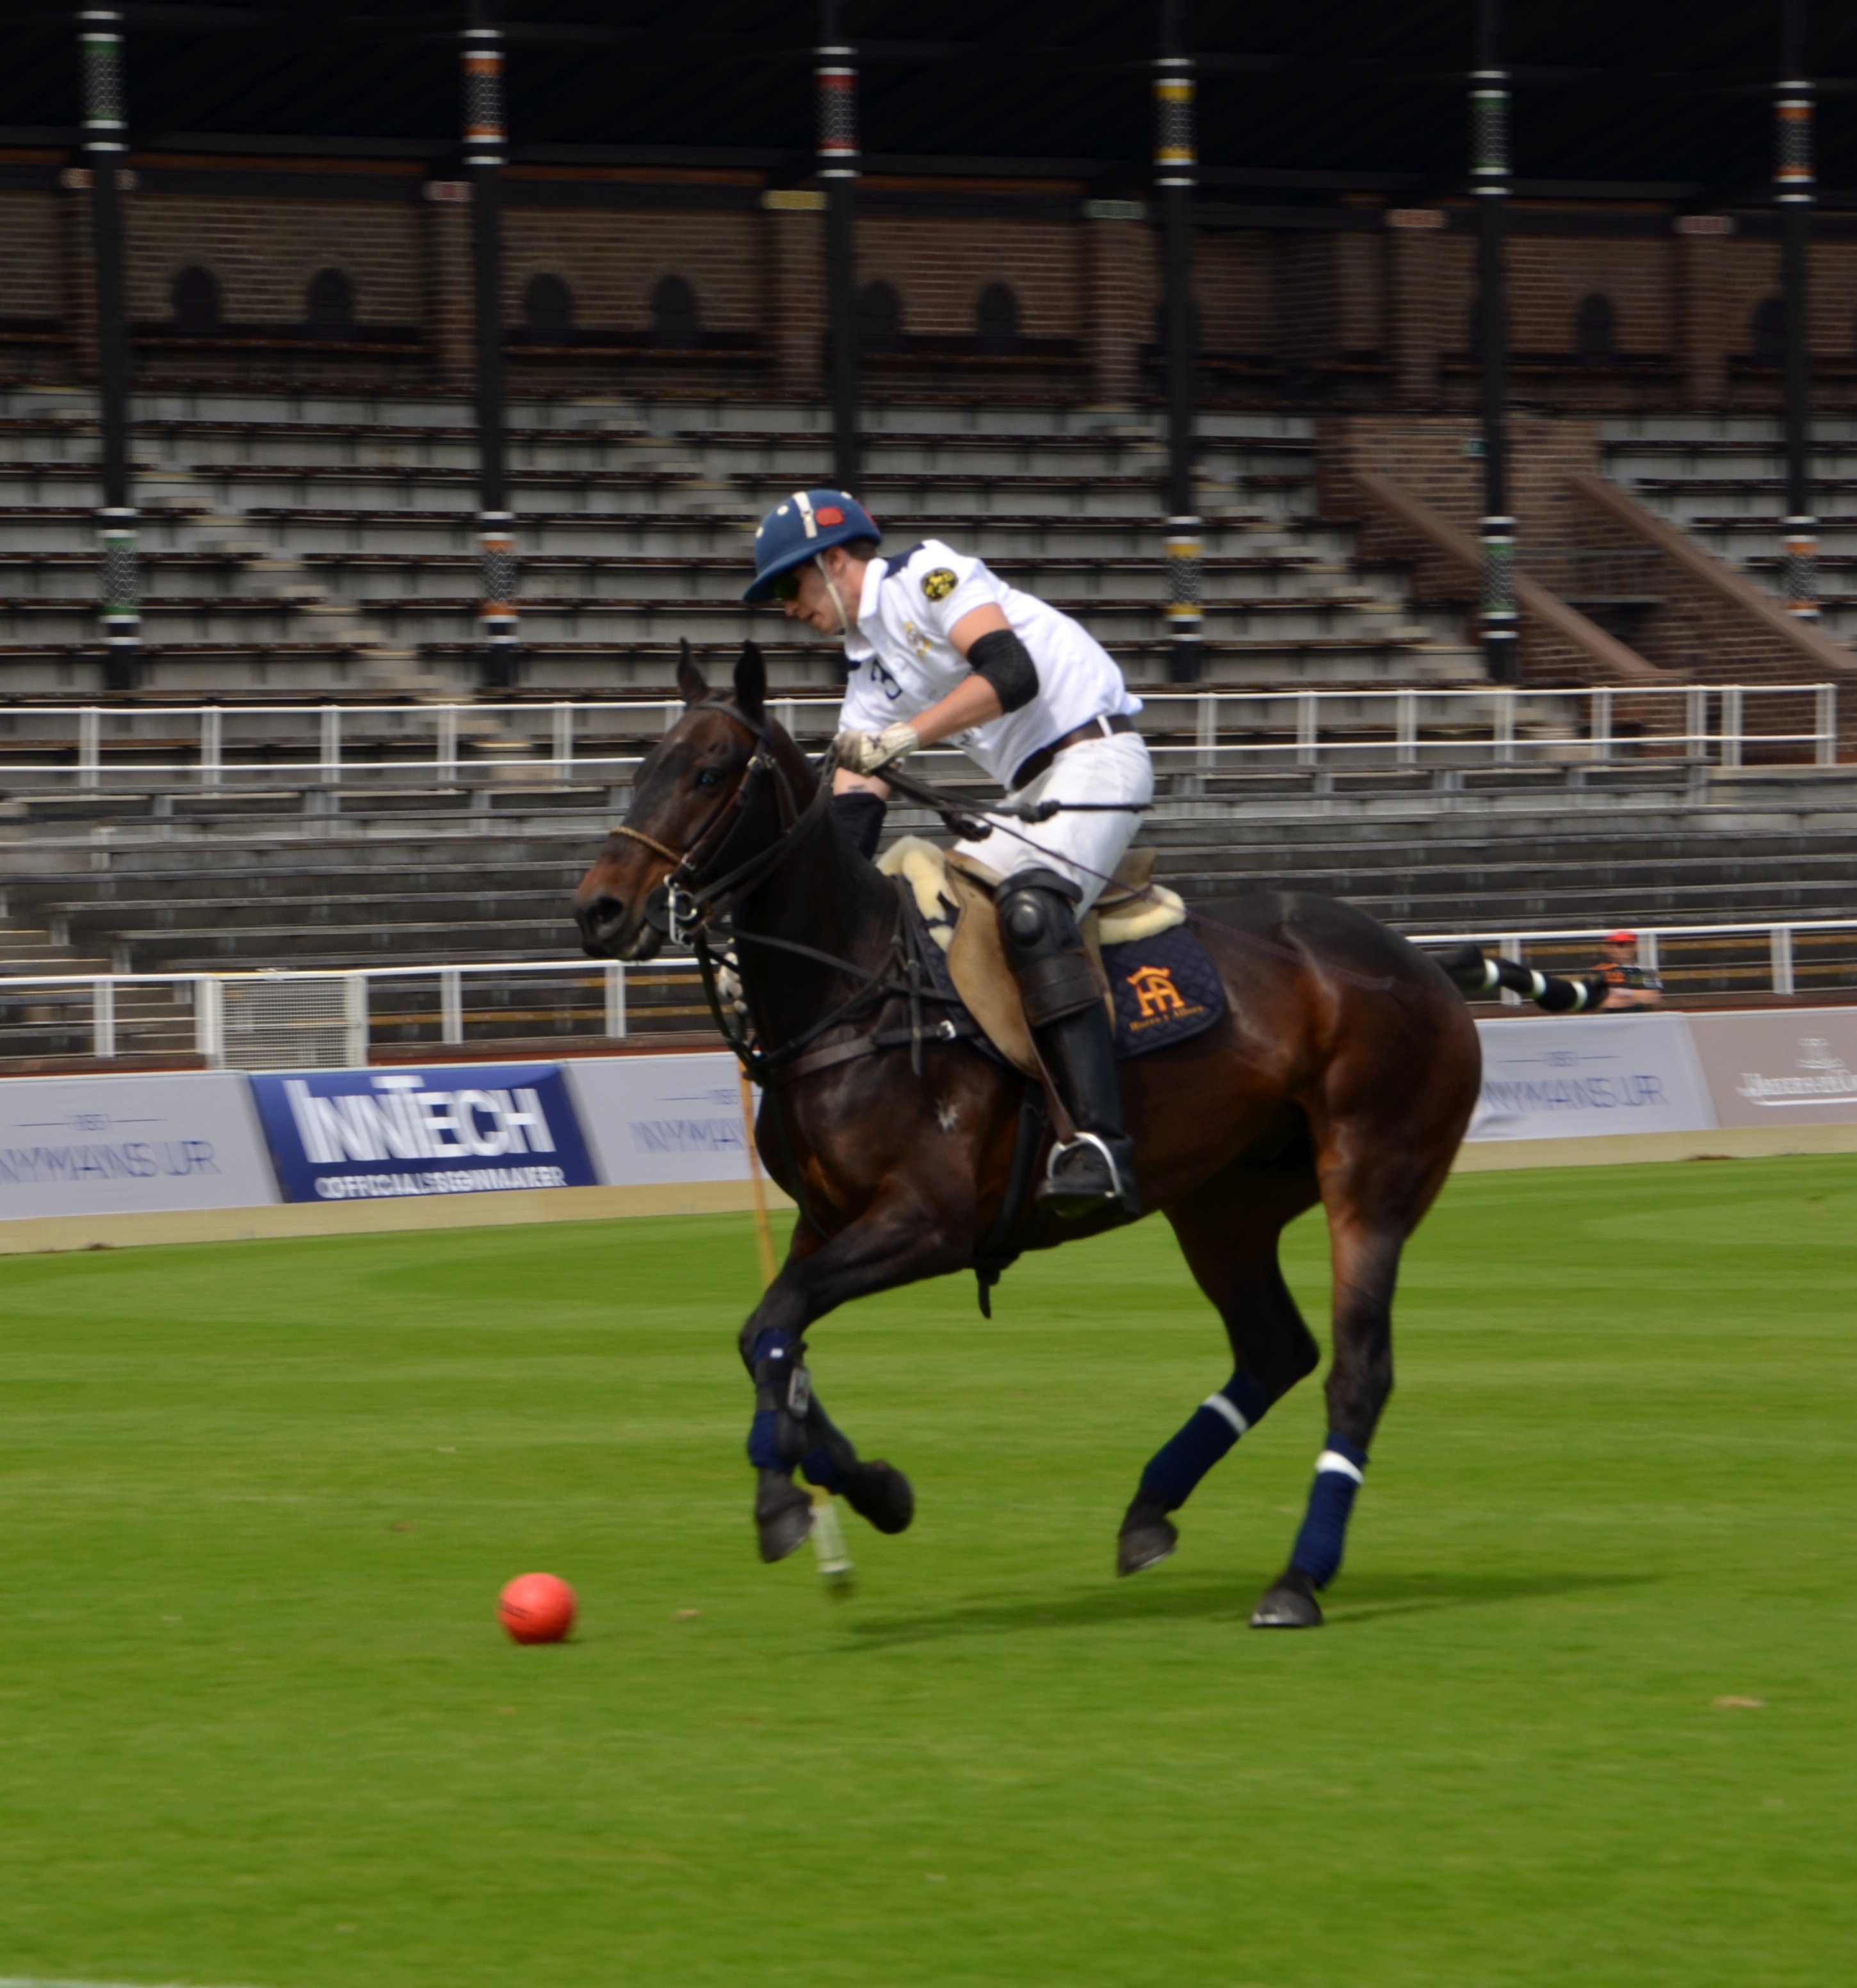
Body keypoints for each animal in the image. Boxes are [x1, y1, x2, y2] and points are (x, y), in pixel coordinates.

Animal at [573, 643, 1483, 1628]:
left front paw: (785, 1499)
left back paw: (1296, 1579)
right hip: (1224, 1203)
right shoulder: (826, 1220)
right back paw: (1150, 1510)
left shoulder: (927, 1223)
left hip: (1372, 1173)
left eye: (707, 773)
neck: (856, 988)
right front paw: (871, 1489)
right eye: (641, 770)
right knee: (1276, 1348)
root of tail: (1425, 965)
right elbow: (770, 1340)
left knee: (1357, 1368)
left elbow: (776, 1325)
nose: (599, 911)